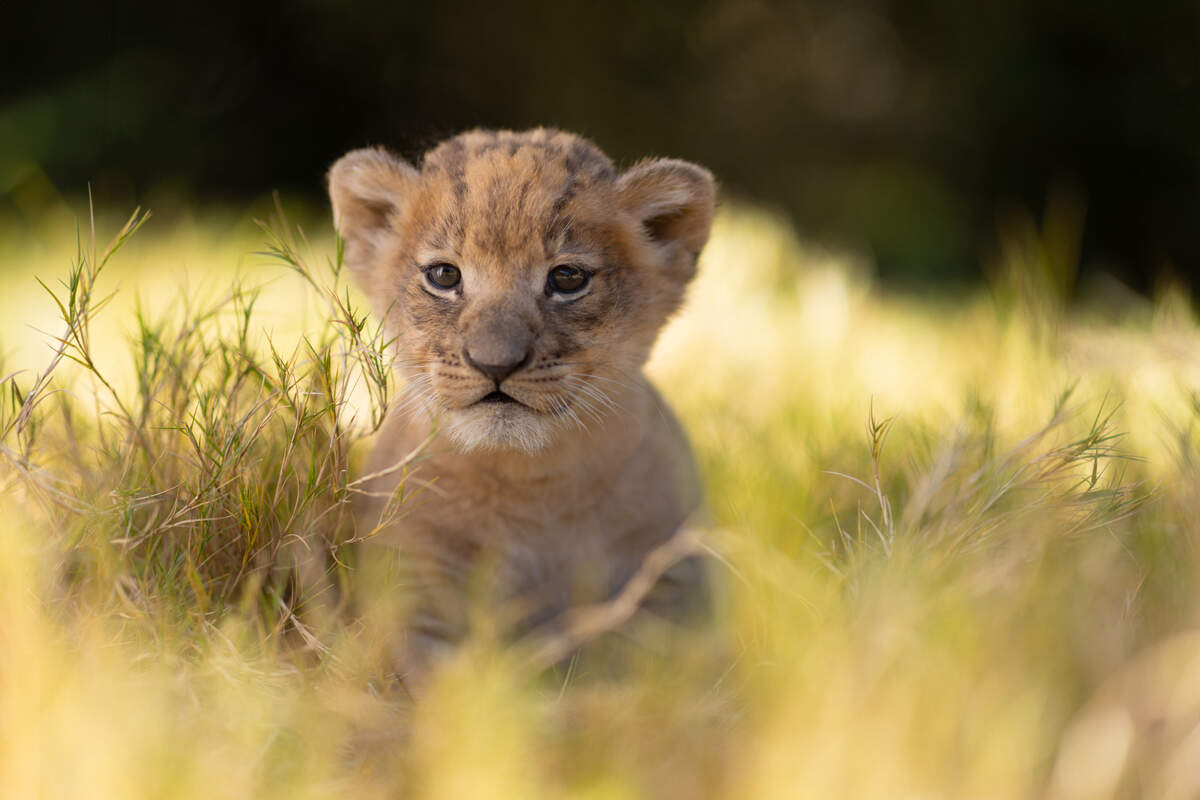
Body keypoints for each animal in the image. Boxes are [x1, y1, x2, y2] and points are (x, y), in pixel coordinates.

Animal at [327, 128, 715, 677]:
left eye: (567, 278)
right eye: (444, 276)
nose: (495, 364)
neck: (533, 483)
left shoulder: (673, 573)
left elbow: (652, 663)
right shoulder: (410, 585)